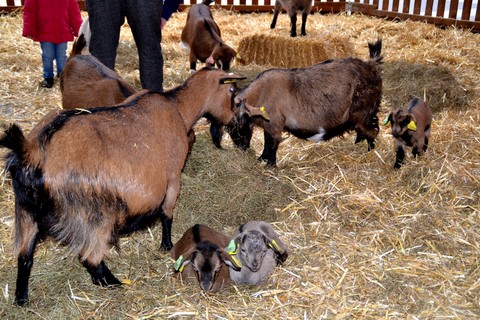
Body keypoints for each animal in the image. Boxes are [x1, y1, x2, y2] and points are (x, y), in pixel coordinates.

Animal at [0, 67, 246, 304]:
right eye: (232, 92)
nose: (236, 120)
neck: (178, 108)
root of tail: (34, 152)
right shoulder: (173, 177)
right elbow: (167, 214)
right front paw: (166, 245)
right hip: (95, 212)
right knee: (89, 256)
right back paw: (114, 283)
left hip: (25, 212)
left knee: (25, 256)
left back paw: (22, 299)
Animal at [227, 38, 384, 166]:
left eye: (236, 126)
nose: (241, 148)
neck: (262, 93)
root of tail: (372, 66)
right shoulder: (269, 126)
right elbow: (267, 143)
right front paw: (261, 159)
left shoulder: (275, 123)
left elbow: (271, 144)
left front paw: (270, 165)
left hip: (363, 113)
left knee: (372, 132)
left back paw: (370, 152)